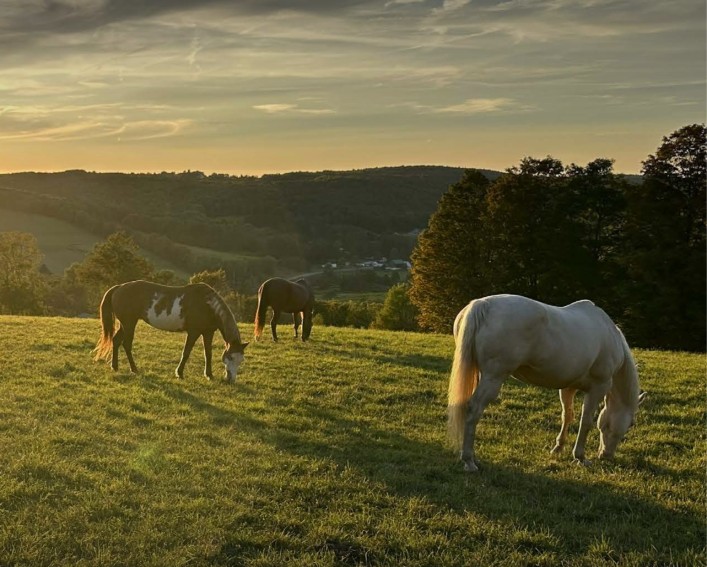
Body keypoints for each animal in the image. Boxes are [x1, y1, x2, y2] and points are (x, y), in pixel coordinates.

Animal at [93, 280, 248, 382]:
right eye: (230, 357)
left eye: (241, 360)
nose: (231, 379)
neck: (207, 304)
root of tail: (119, 287)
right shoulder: (193, 332)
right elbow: (186, 352)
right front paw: (179, 373)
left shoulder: (208, 332)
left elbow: (208, 354)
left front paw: (209, 375)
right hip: (129, 323)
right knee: (126, 344)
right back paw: (134, 369)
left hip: (124, 324)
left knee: (116, 341)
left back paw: (115, 367)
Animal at [448, 294, 646, 472]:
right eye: (631, 424)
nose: (606, 456)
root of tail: (482, 305)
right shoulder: (598, 387)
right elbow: (586, 421)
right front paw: (580, 457)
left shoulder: (568, 387)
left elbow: (567, 415)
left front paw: (558, 448)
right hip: (493, 377)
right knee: (474, 408)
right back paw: (469, 461)